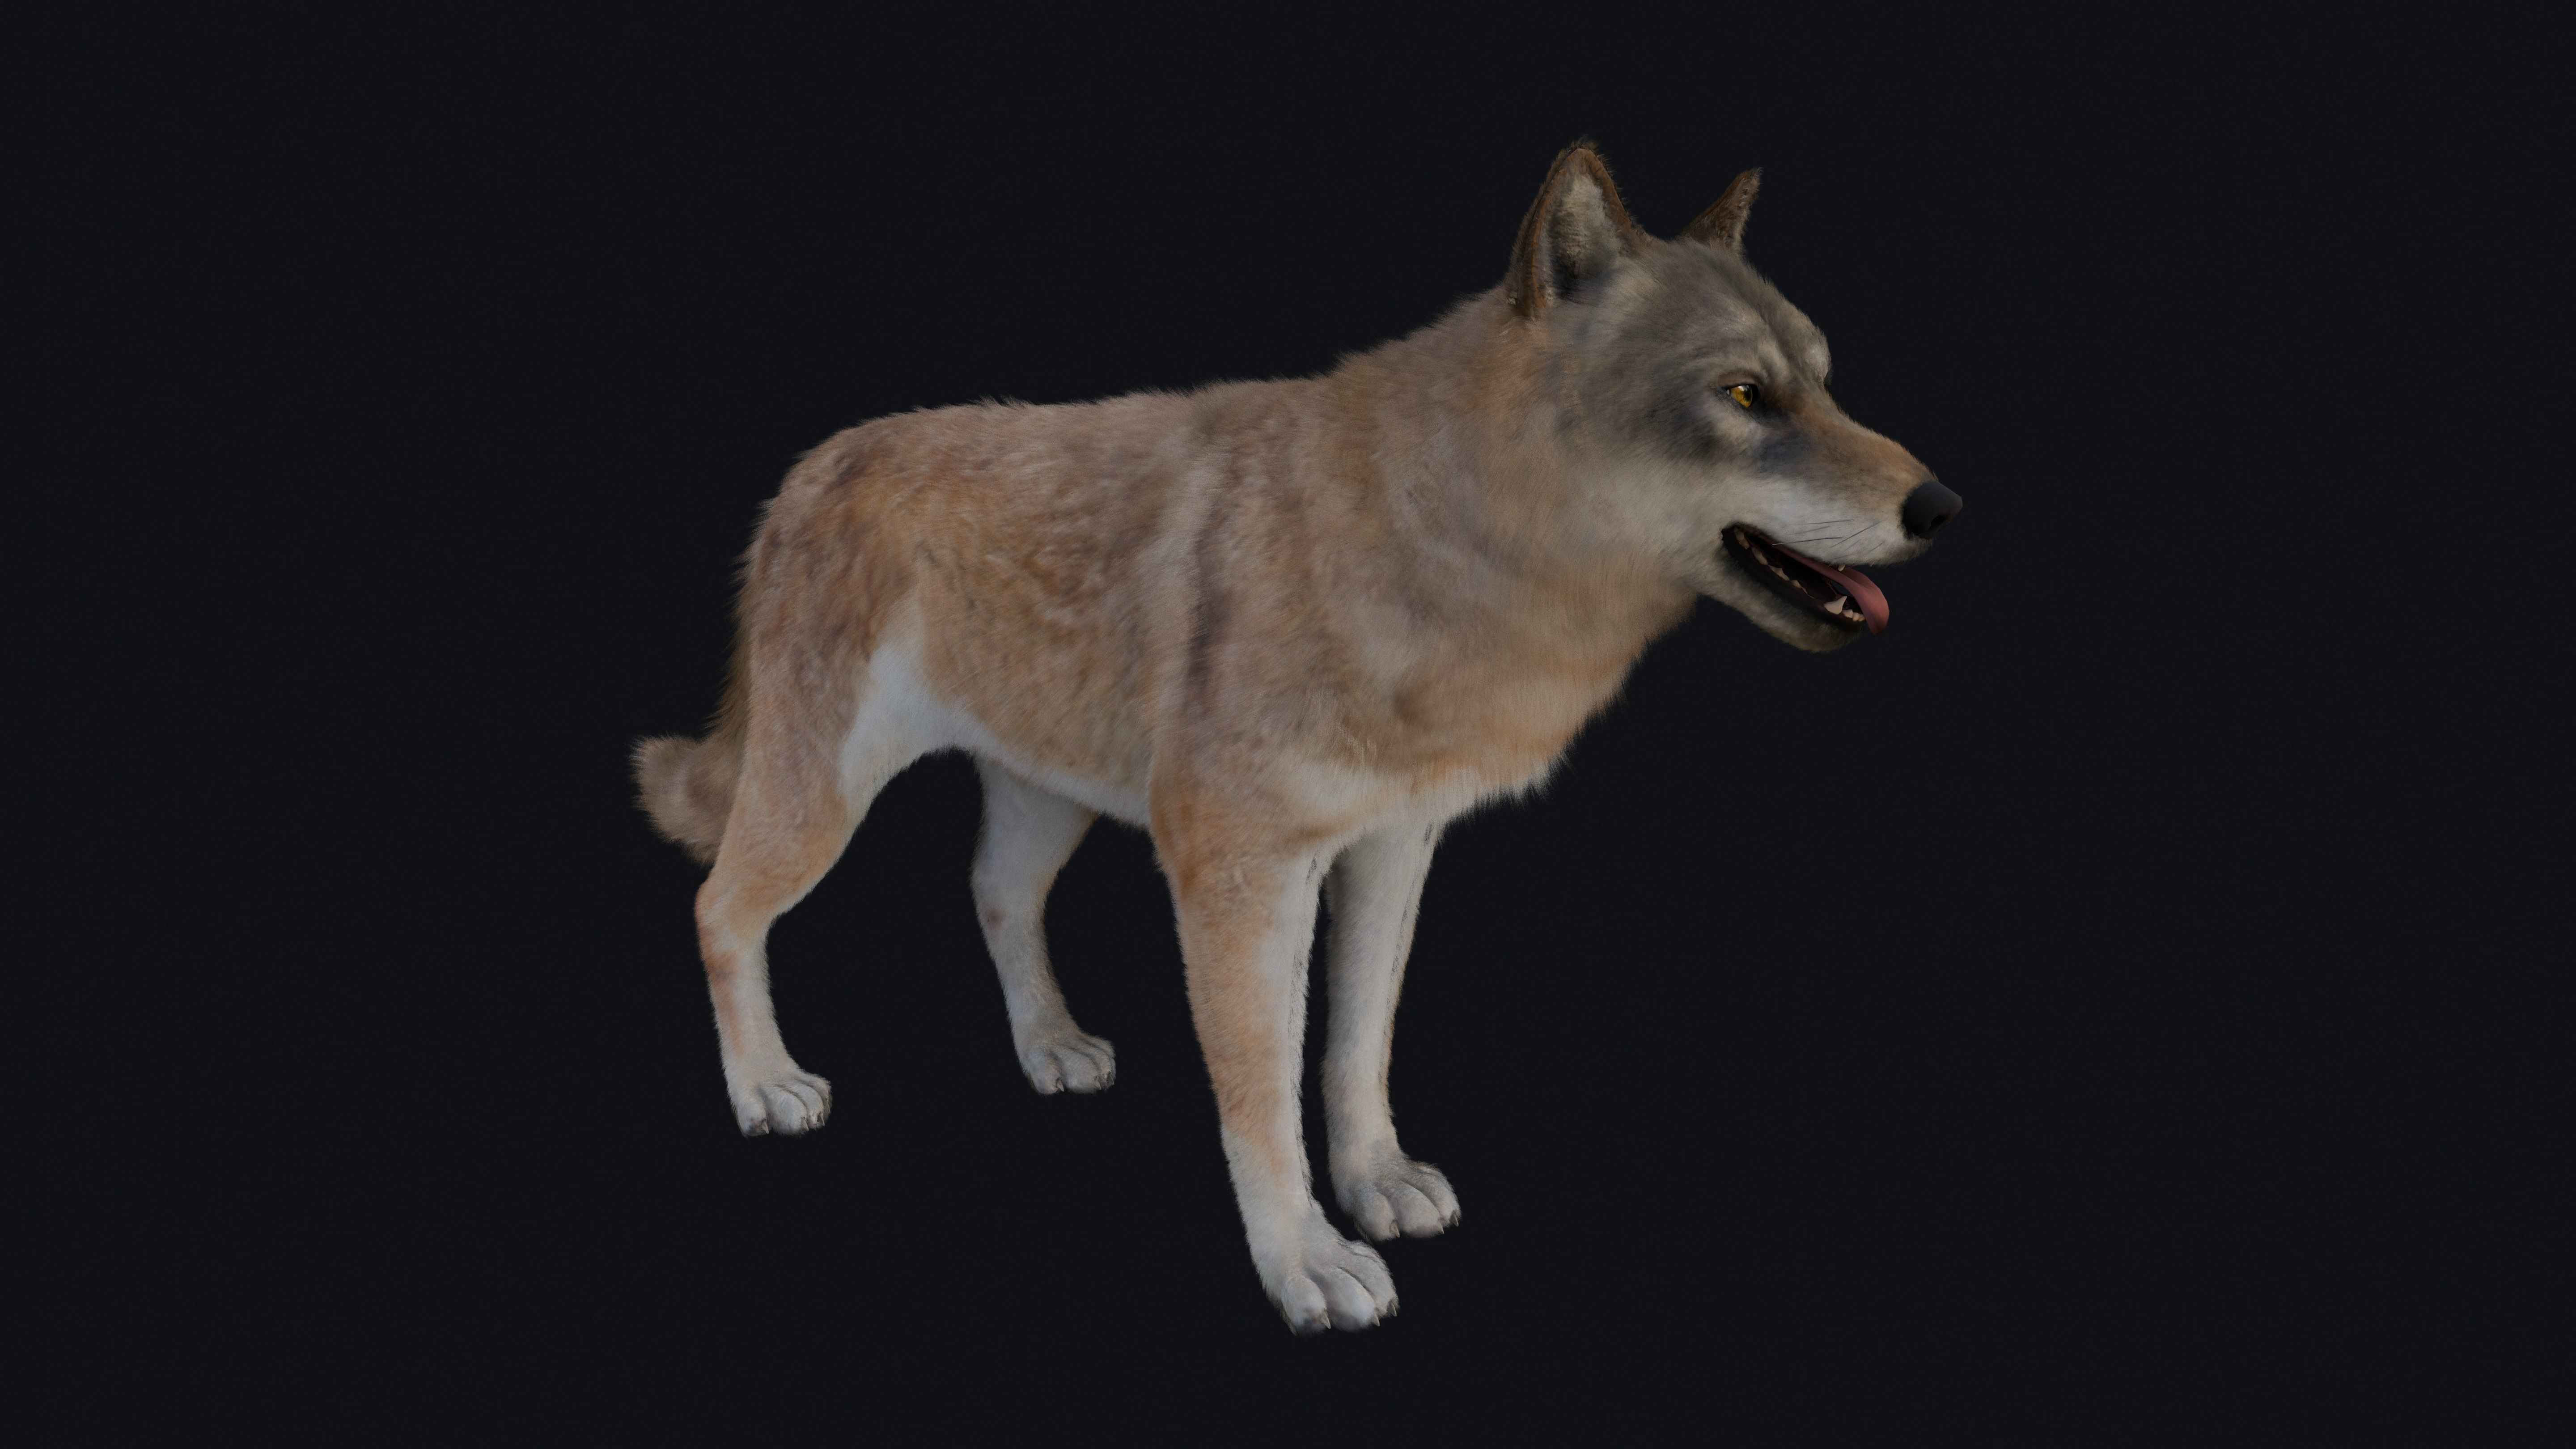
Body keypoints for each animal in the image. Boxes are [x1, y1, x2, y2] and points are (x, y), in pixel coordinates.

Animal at [635, 142, 1961, 1333]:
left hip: (1044, 805)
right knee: (718, 910)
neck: (1436, 546)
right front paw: (1307, 1266)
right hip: (821, 803)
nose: (1942, 507)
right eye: (1744, 396)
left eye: (1827, 384)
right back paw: (766, 1087)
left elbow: (1354, 1047)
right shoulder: (1238, 880)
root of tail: (810, 467)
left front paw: (1374, 1185)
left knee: (992, 894)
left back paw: (1050, 1046)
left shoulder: (1391, 849)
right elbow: (1261, 1097)